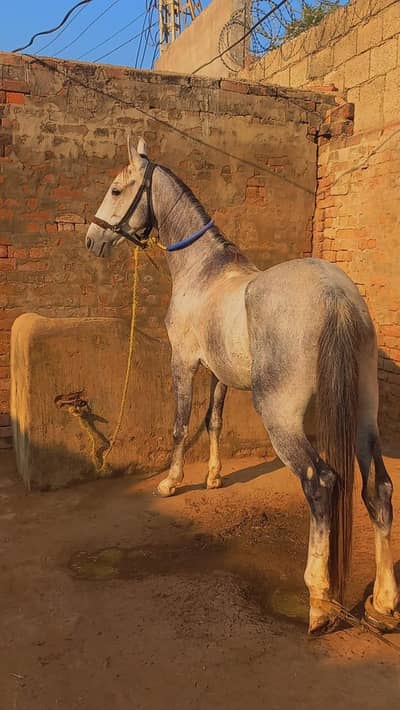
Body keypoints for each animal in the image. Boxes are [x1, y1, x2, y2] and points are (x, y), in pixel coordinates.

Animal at [85, 136, 399, 635]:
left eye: (117, 190)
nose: (92, 240)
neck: (204, 271)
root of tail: (335, 294)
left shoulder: (184, 362)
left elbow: (180, 424)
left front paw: (171, 482)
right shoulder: (218, 372)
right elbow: (213, 420)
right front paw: (214, 477)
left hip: (282, 418)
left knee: (321, 482)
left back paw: (319, 601)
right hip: (364, 415)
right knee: (380, 490)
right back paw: (384, 602)